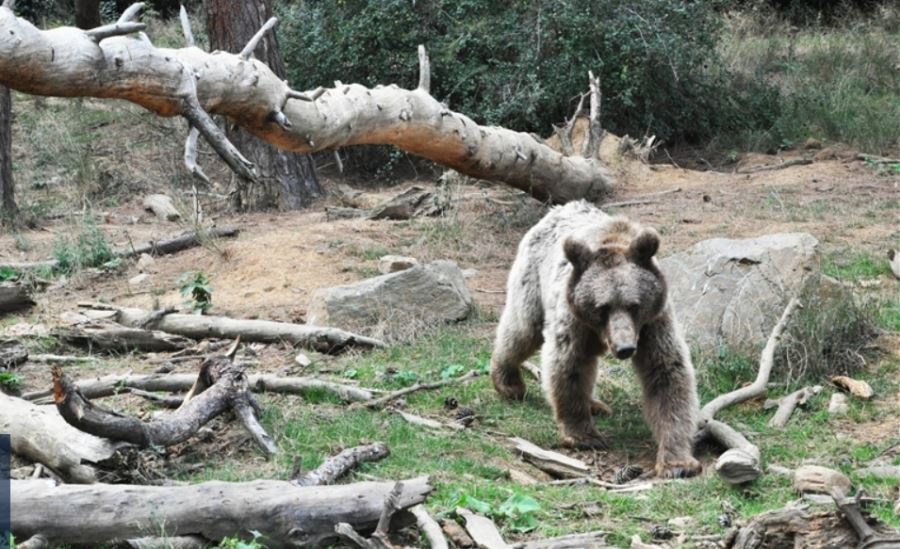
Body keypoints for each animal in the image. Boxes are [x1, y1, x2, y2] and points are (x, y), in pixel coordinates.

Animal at [488, 199, 700, 478]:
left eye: (634, 305)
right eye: (603, 307)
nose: (625, 348)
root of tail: (556, 208)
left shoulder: (654, 323)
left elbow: (667, 373)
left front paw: (678, 462)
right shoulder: (574, 319)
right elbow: (570, 366)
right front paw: (584, 436)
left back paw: (595, 404)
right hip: (533, 279)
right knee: (522, 329)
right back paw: (508, 382)